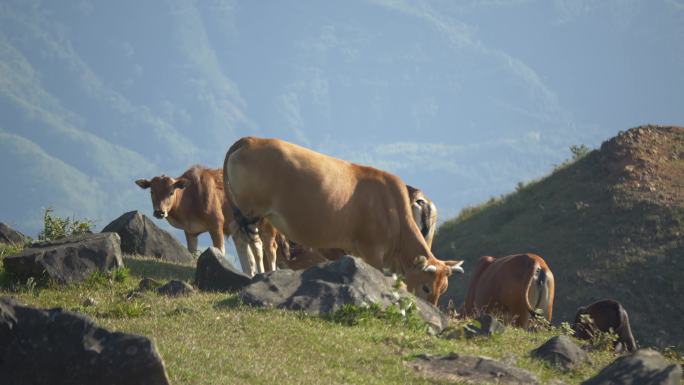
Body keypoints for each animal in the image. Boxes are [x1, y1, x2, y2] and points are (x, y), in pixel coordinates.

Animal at [224, 136, 464, 304]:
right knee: (248, 240)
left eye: (443, 289)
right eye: (426, 287)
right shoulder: (371, 252)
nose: (432, 308)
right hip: (251, 210)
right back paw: (254, 273)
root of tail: (251, 139)